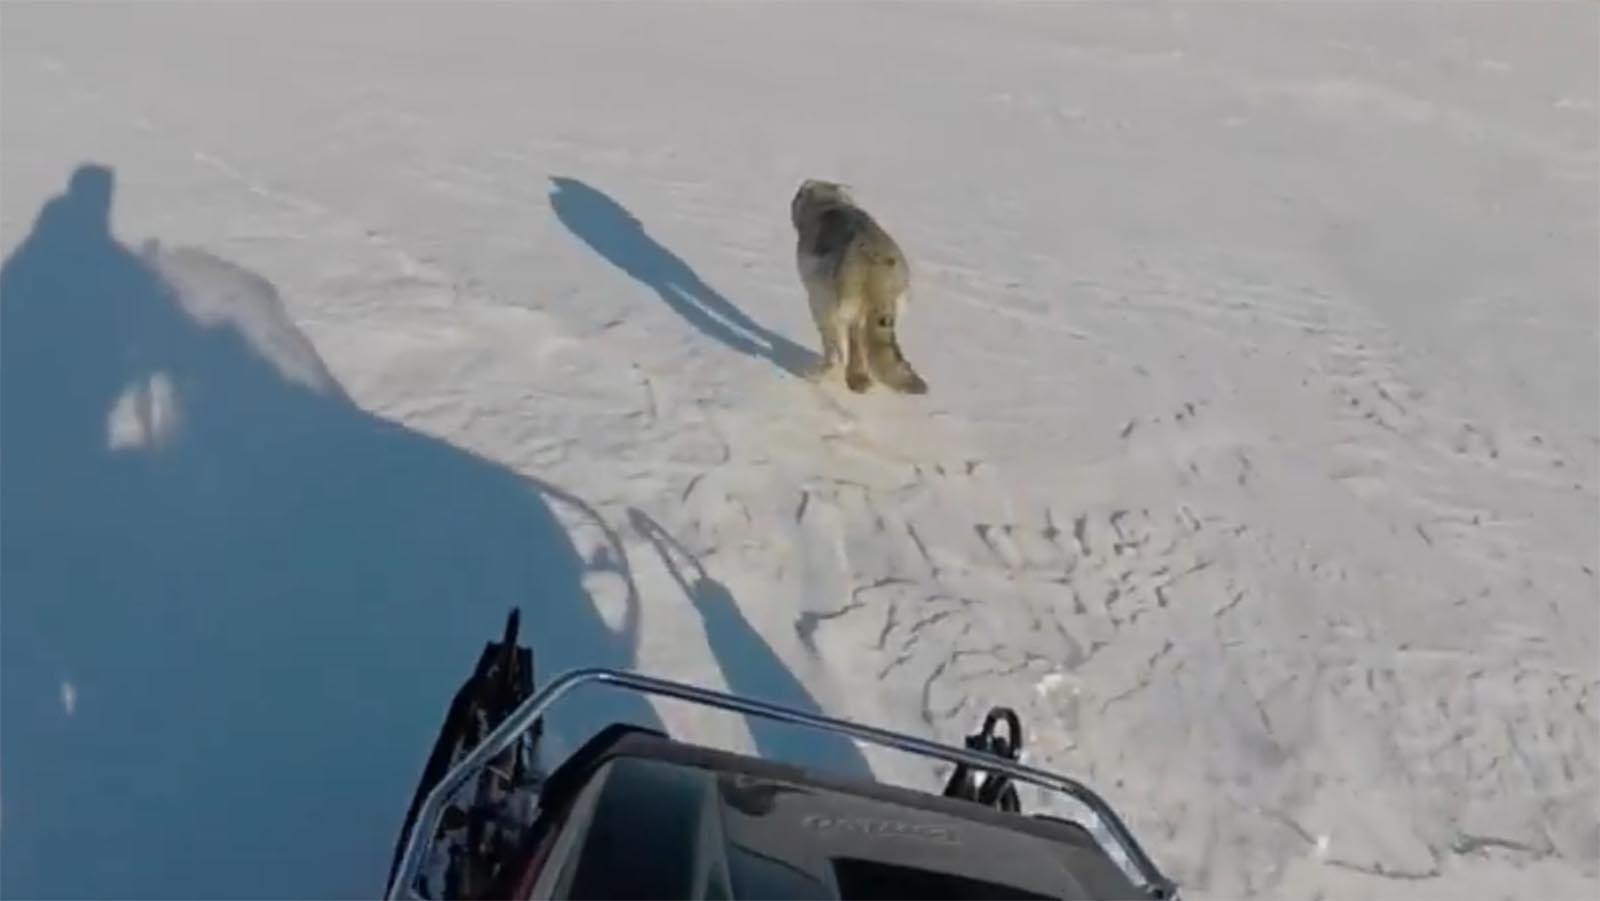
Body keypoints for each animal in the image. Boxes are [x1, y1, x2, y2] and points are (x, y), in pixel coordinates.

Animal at [787, 180, 928, 395]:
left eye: (797, 197)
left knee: (841, 346)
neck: (828, 203)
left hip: (836, 303)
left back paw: (827, 374)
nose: (792, 202)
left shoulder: (819, 298)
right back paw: (861, 379)